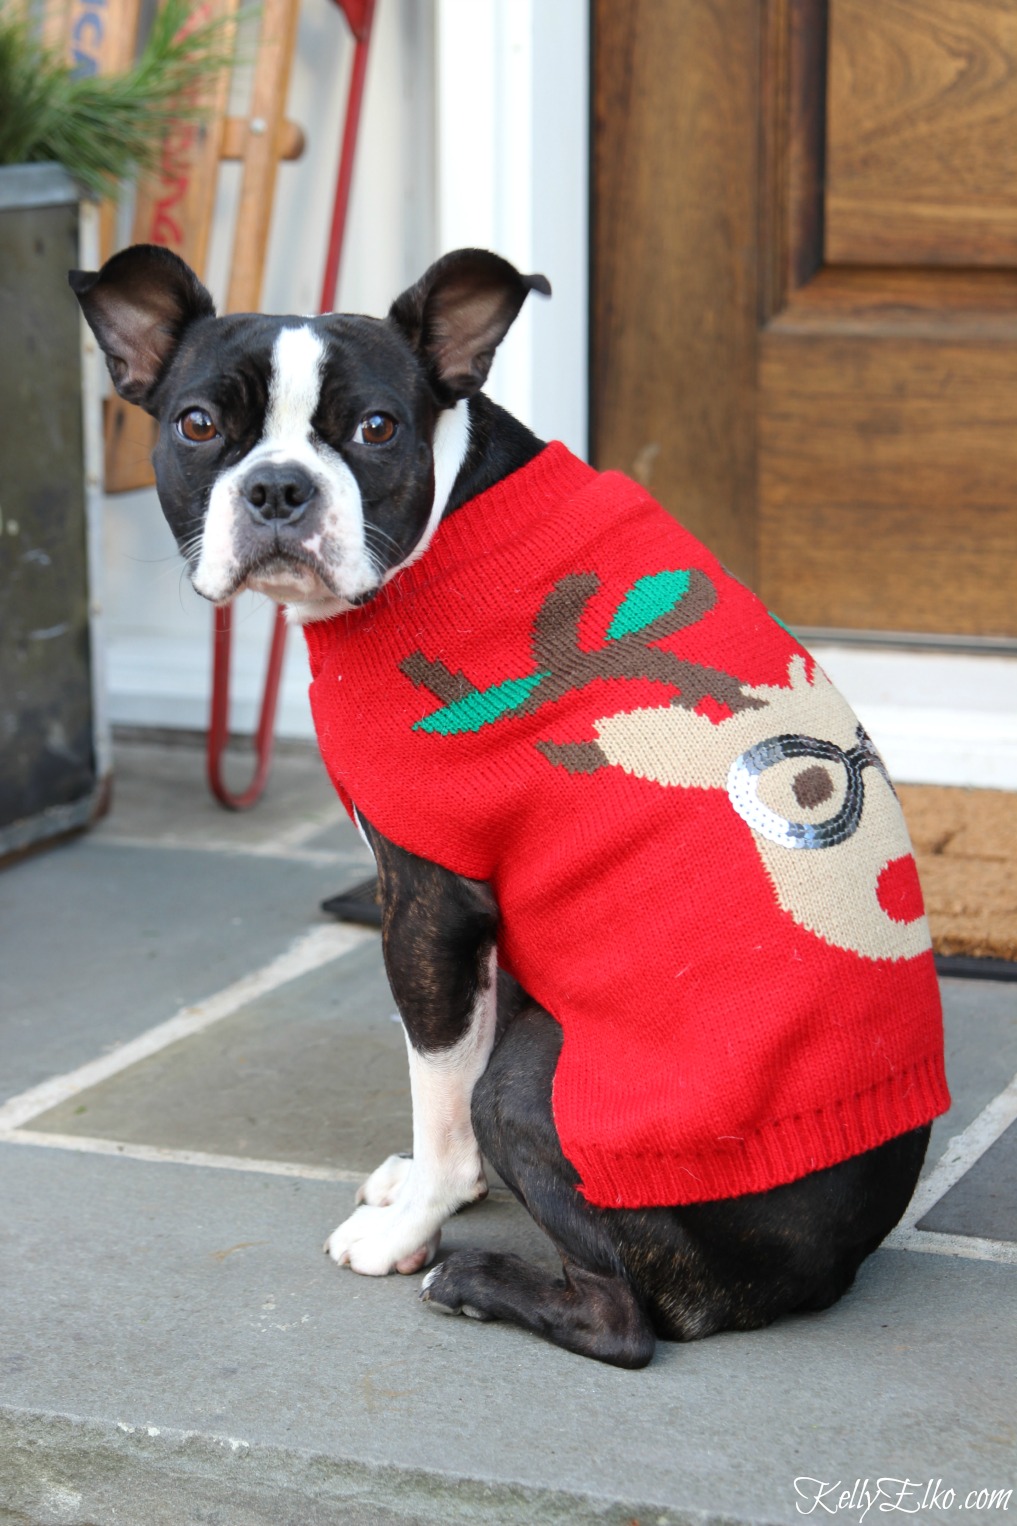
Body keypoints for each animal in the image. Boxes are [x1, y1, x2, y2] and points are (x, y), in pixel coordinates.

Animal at [69, 250, 940, 1373]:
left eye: (376, 428)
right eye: (197, 424)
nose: (278, 487)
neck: (443, 525)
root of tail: (824, 1268)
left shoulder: (430, 905)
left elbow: (442, 1092)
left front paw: (415, 1223)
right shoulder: (492, 926)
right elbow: (458, 1063)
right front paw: (429, 1188)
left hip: (539, 1091)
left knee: (626, 1320)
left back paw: (472, 1279)